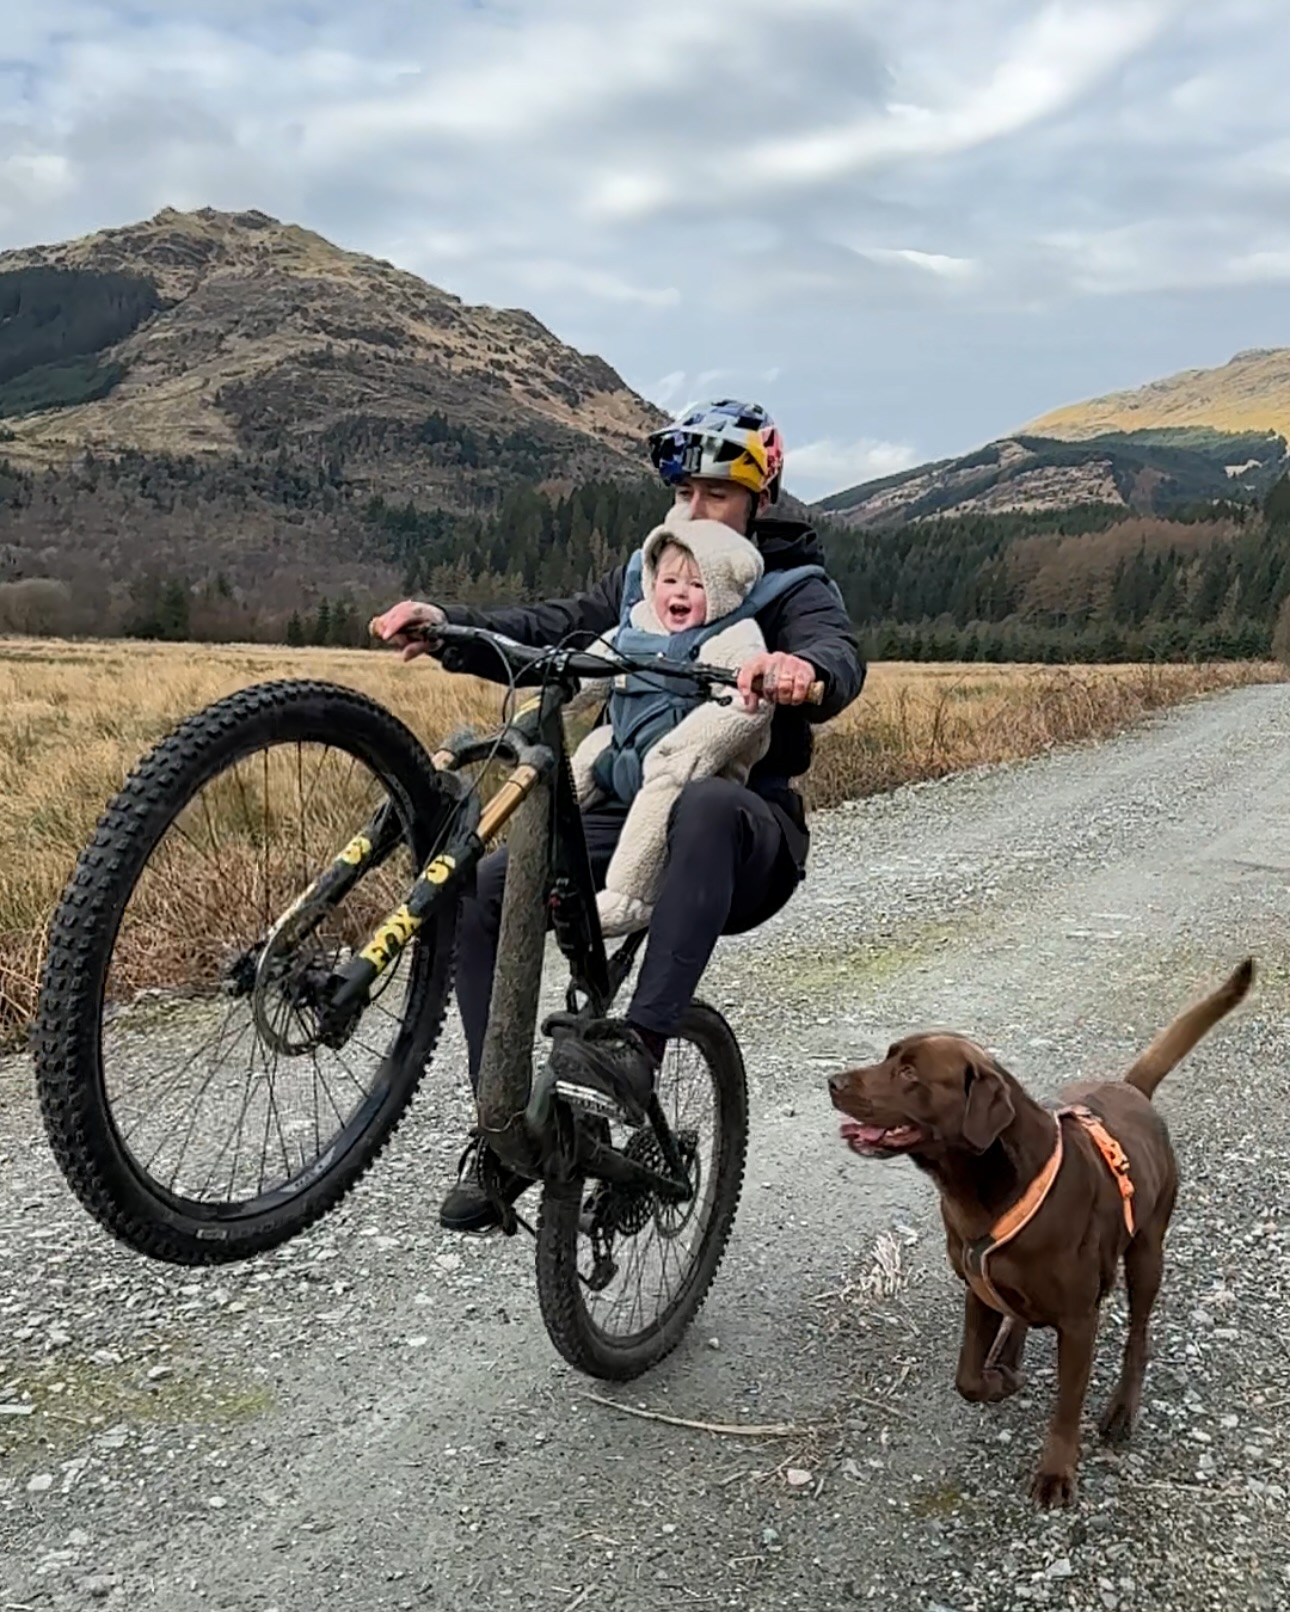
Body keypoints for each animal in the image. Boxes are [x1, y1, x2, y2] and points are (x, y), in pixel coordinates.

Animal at [827, 958, 1254, 1507]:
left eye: (908, 1073)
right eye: (888, 1057)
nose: (833, 1081)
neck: (985, 1189)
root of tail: (1133, 1088)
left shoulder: (1079, 1321)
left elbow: (1067, 1406)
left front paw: (1056, 1472)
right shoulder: (978, 1291)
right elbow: (967, 1377)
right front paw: (998, 1381)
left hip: (1147, 1252)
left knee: (1138, 1334)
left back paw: (1121, 1408)